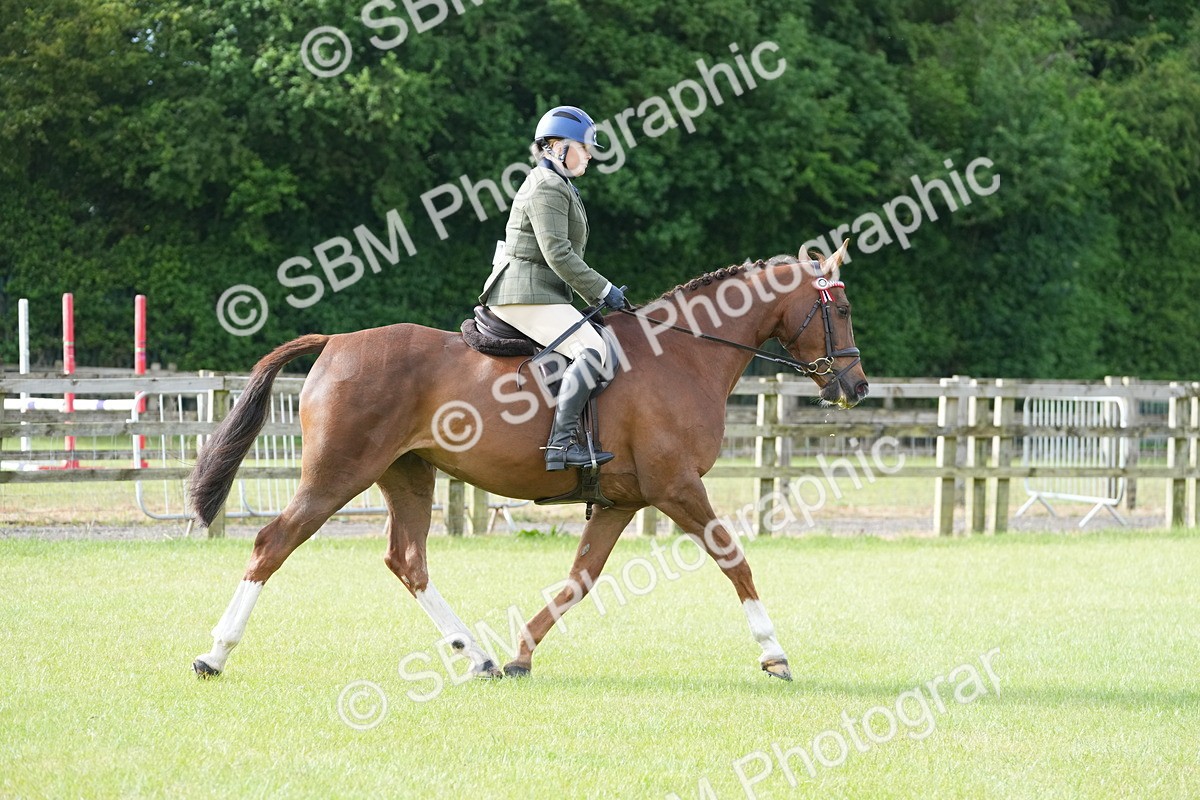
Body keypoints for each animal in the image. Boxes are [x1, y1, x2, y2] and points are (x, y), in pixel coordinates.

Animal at [189, 241, 869, 681]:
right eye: (839, 310)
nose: (856, 387)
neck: (682, 354)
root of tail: (335, 342)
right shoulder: (676, 488)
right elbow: (735, 560)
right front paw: (774, 653)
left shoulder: (622, 501)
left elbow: (579, 579)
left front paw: (520, 653)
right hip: (336, 475)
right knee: (274, 543)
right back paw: (215, 654)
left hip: (407, 474)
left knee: (408, 560)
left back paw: (479, 655)